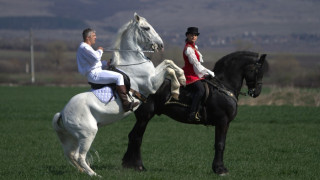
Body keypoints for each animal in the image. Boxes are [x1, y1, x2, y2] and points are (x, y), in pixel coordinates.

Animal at [52, 13, 186, 177]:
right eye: (146, 28)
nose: (161, 45)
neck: (133, 61)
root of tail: (62, 113)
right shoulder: (151, 83)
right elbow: (169, 67)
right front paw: (177, 86)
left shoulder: (154, 76)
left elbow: (169, 63)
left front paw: (181, 79)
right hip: (88, 133)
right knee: (80, 156)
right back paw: (94, 175)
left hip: (75, 137)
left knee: (73, 155)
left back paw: (84, 172)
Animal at [121, 51, 266, 175]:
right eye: (256, 71)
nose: (257, 92)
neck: (224, 86)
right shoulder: (222, 121)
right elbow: (220, 144)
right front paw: (219, 169)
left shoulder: (225, 123)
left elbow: (221, 144)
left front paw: (219, 168)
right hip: (145, 117)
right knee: (136, 137)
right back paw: (138, 166)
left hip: (143, 118)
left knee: (133, 136)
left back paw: (128, 164)